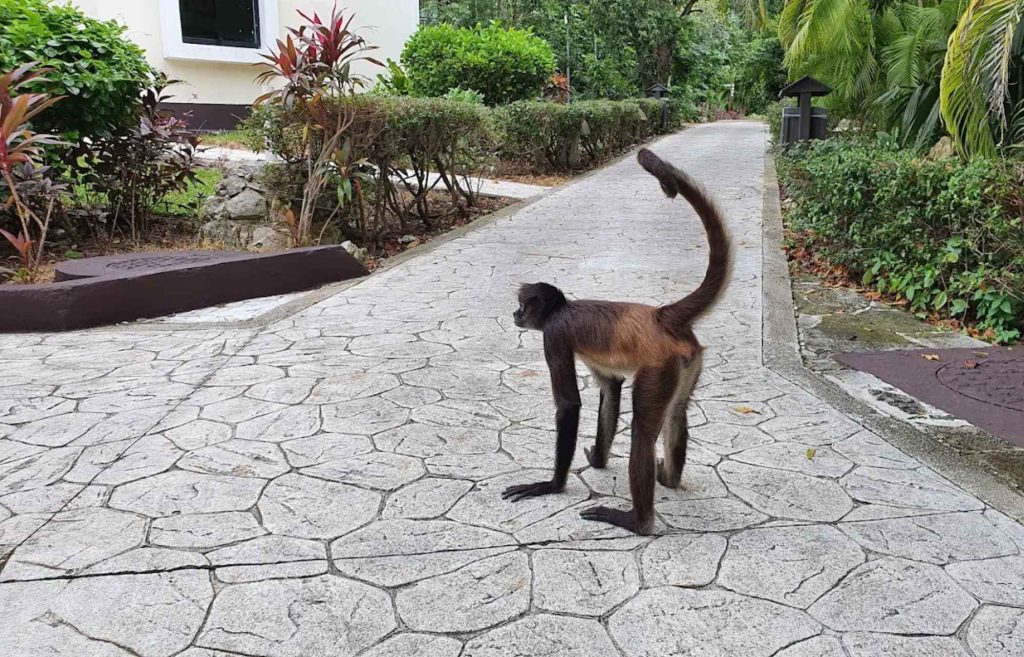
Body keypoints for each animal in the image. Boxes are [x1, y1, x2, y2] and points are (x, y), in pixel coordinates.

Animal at [502, 148, 732, 535]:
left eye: (523, 305)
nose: (515, 314)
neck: (564, 307)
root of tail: (662, 316)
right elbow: (610, 390)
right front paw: (597, 457)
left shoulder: (555, 333)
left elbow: (570, 405)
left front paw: (551, 485)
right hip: (687, 363)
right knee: (677, 411)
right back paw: (668, 479)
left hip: (659, 366)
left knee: (643, 430)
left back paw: (638, 521)